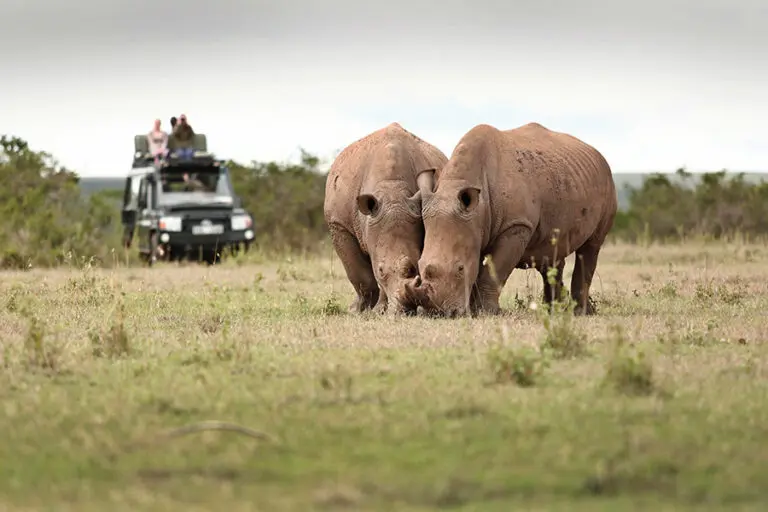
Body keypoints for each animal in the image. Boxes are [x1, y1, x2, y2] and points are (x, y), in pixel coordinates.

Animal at [323, 122, 448, 314]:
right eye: (381, 270)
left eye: (413, 267)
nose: (403, 311)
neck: (392, 191)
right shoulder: (339, 223)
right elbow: (361, 273)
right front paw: (359, 311)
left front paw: (379, 311)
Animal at [405, 122, 617, 317]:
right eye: (420, 265)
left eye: (460, 268)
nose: (437, 313)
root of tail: (597, 154)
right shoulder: (473, 227)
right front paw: (474, 311)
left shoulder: (516, 225)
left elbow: (494, 271)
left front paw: (487, 312)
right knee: (551, 252)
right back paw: (553, 311)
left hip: (606, 182)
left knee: (591, 247)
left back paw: (580, 313)